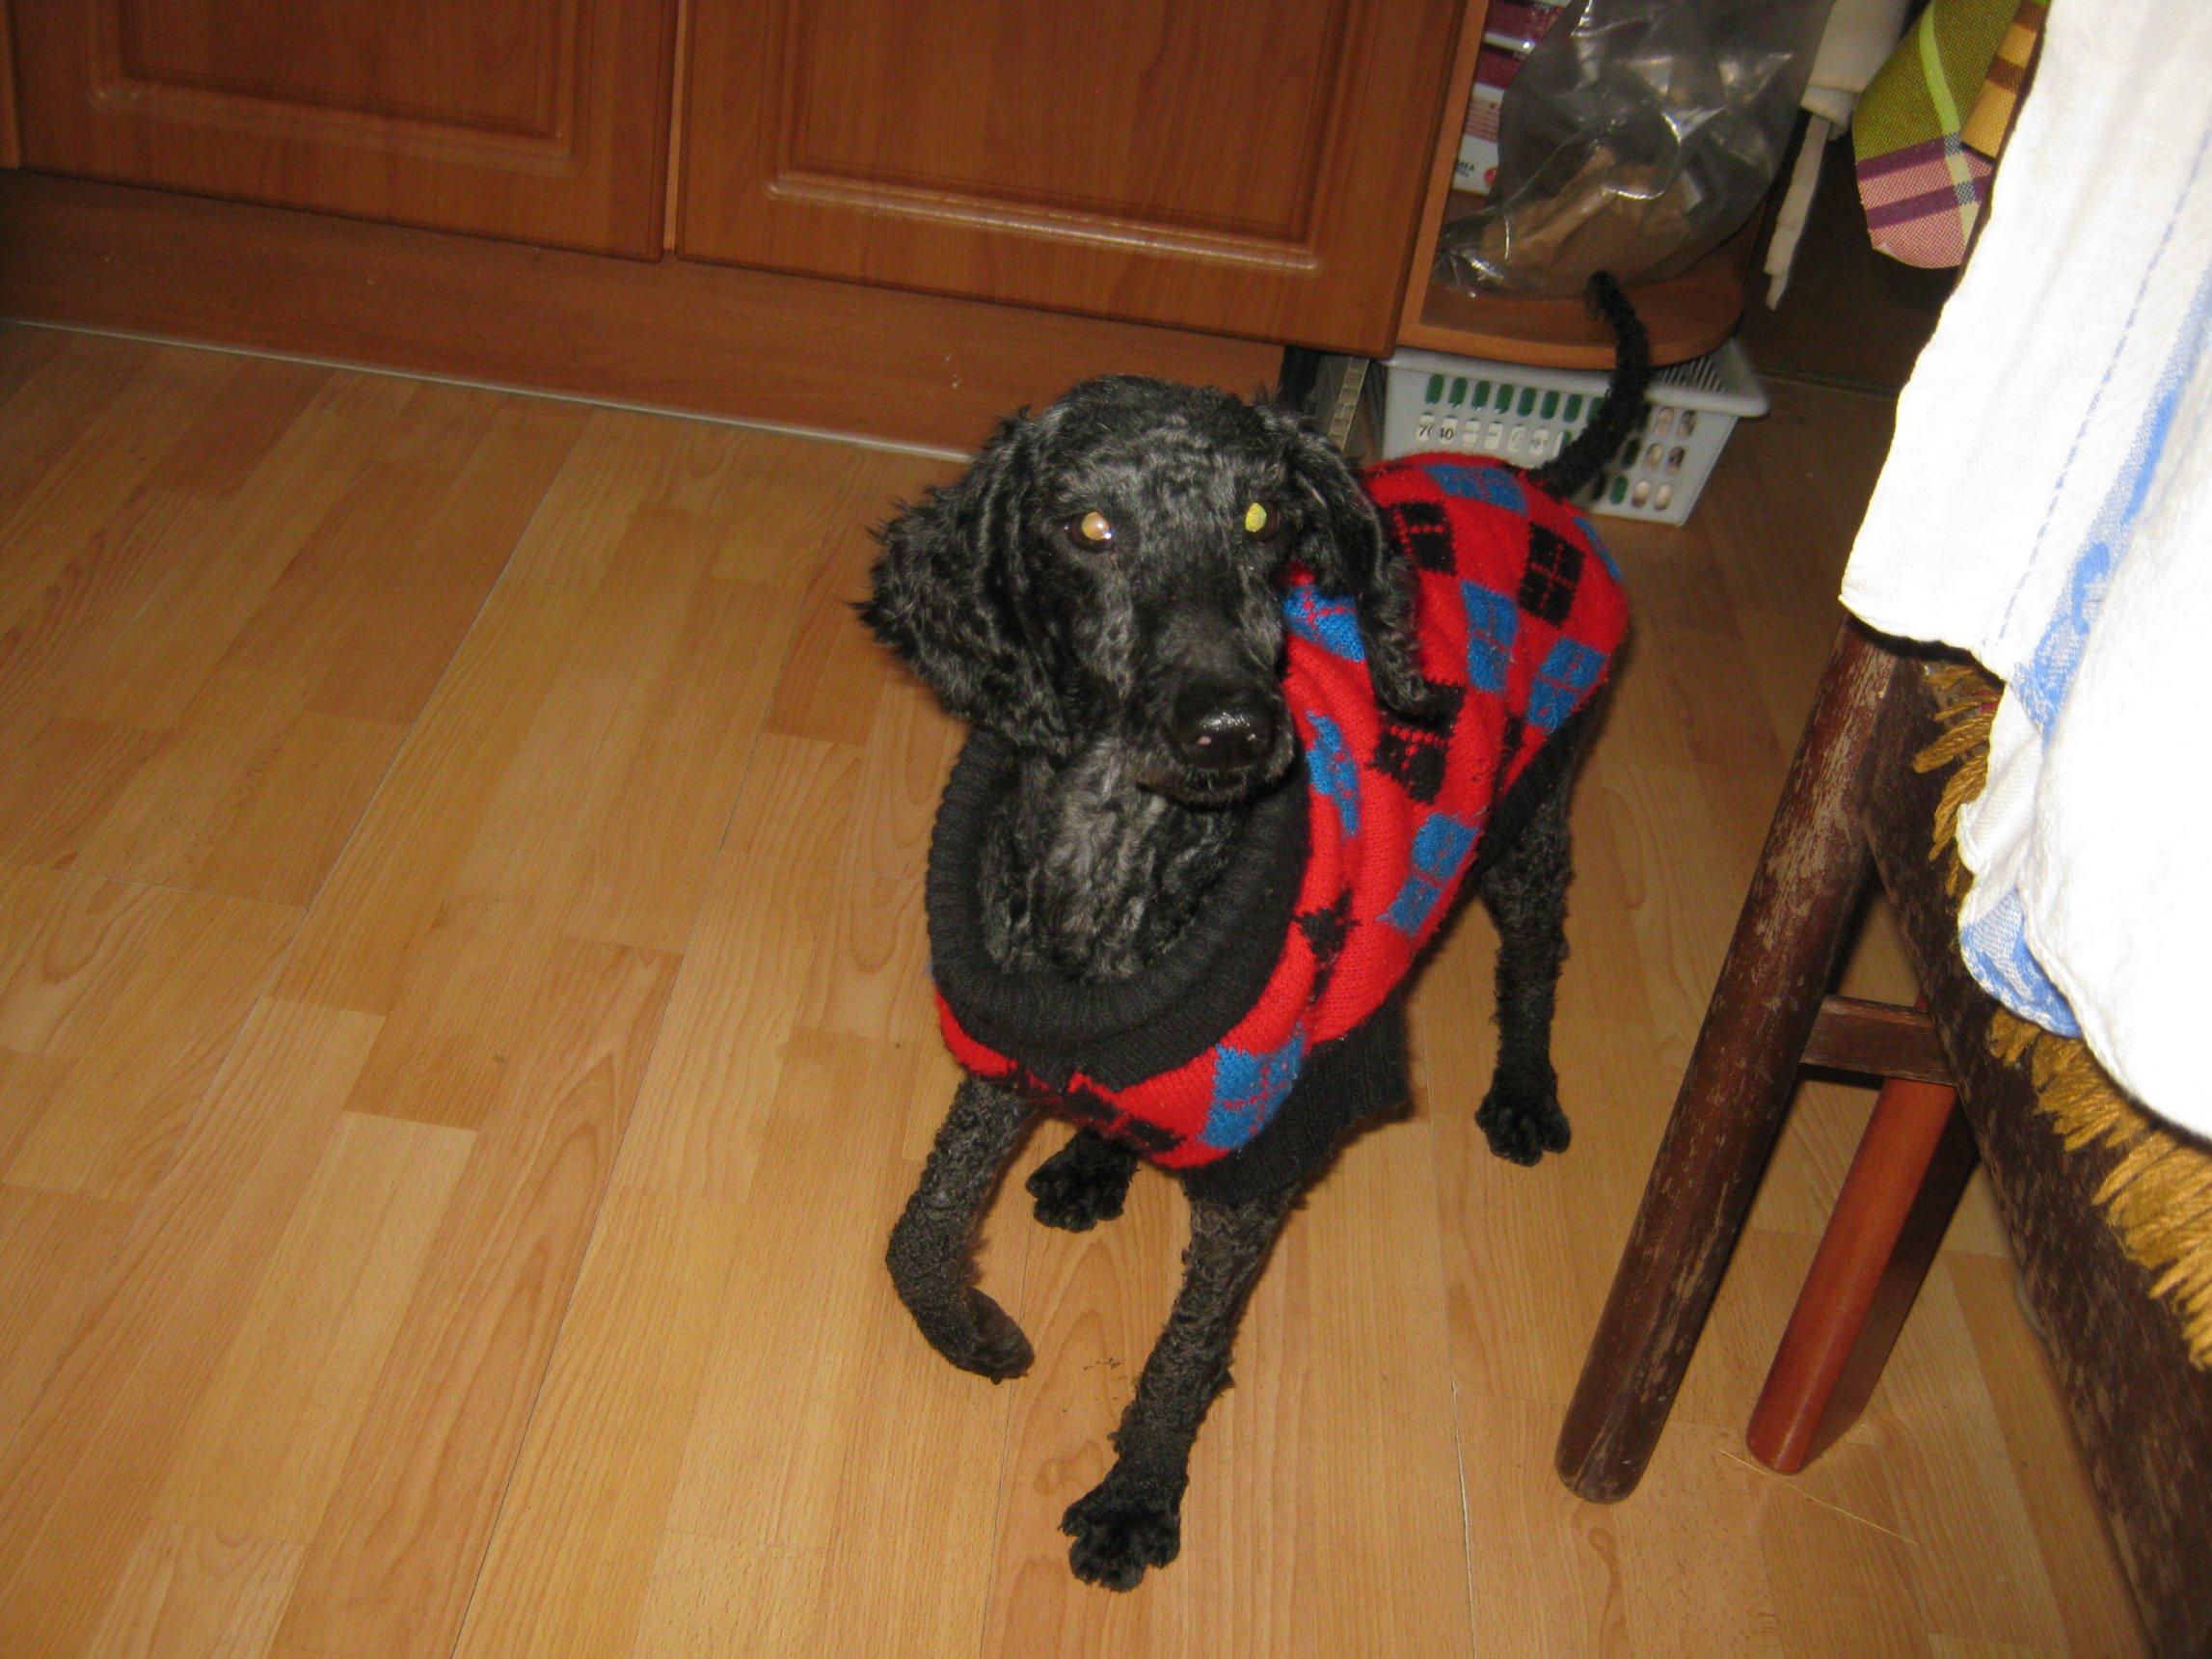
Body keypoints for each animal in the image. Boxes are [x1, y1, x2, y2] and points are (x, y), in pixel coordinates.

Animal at [862, 277, 1650, 1591]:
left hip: (1533, 819)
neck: (1117, 859)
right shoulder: (1013, 1043)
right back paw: (1095, 1159)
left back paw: (1523, 1093)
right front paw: (976, 1331)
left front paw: (1137, 1493)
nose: (1230, 724)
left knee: (1535, 964)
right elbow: (917, 1232)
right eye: (1088, 528)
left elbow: (1183, 1350)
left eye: (1258, 517)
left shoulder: (1265, 1156)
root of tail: (1528, 481)